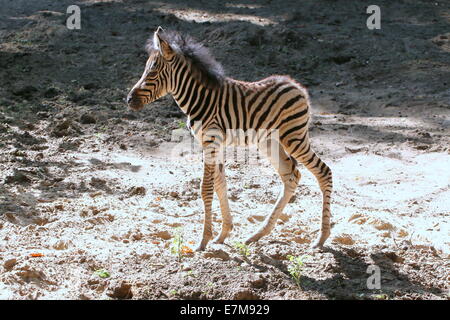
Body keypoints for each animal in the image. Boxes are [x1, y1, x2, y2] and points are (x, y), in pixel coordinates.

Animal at [128, 27, 332, 251]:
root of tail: (298, 87)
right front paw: (222, 234)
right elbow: (220, 184)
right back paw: (258, 234)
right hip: (270, 141)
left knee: (323, 171)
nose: (129, 100)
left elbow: (206, 188)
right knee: (291, 176)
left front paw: (203, 241)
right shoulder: (212, 144)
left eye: (152, 72)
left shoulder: (211, 141)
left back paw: (321, 238)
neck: (199, 98)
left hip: (294, 136)